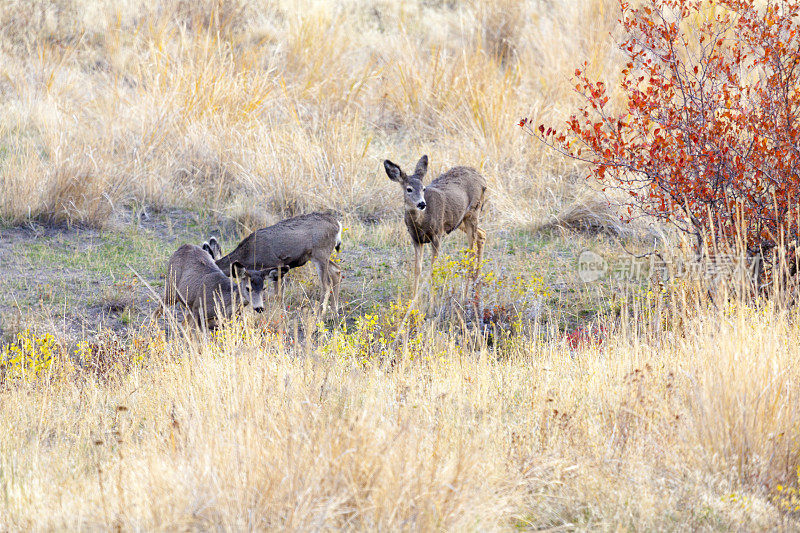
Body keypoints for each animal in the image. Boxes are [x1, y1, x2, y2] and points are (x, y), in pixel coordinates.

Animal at [211, 211, 342, 314]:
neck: (247, 255)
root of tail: (337, 224)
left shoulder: (277, 264)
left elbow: (278, 295)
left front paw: (281, 315)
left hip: (320, 253)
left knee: (326, 284)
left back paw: (319, 317)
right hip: (319, 255)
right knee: (336, 270)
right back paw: (334, 311)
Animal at [382, 154, 488, 296]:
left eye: (423, 188)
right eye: (409, 189)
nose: (422, 204)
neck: (422, 222)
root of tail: (482, 178)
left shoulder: (437, 235)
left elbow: (433, 270)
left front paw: (432, 299)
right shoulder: (416, 239)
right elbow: (417, 268)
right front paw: (413, 298)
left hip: (473, 212)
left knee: (471, 253)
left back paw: (466, 293)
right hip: (460, 219)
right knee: (482, 234)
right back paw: (475, 283)